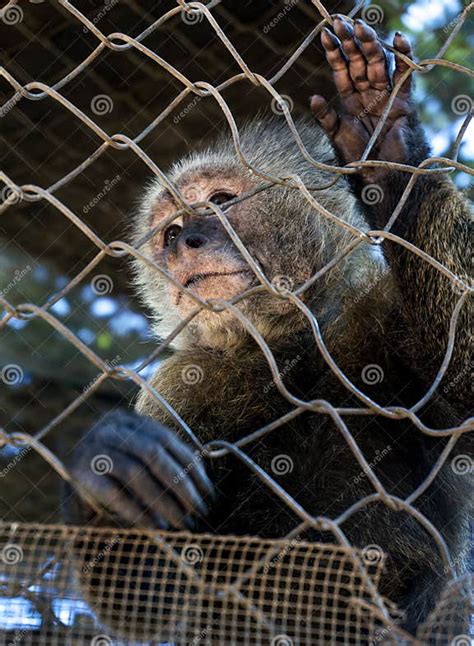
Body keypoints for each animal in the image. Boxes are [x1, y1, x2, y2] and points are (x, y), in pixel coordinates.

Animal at [64, 17, 472, 643]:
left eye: (221, 201)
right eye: (170, 230)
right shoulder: (181, 382)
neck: (284, 350)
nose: (187, 240)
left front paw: (386, 149)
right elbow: (145, 596)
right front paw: (105, 461)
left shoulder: (377, 313)